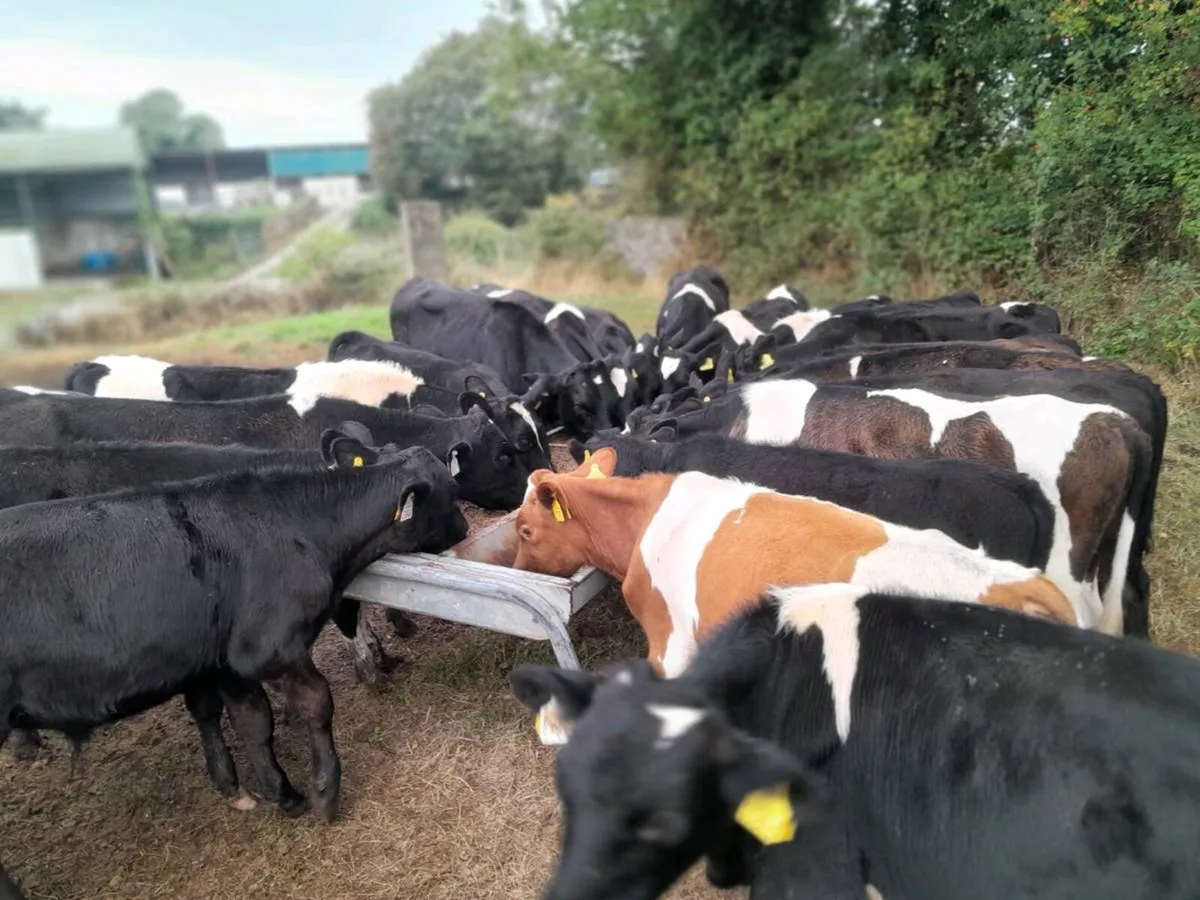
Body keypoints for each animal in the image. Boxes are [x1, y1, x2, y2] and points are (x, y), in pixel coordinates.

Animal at [0, 441, 467, 825]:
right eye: (450, 489)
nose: (465, 527)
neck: (298, 526)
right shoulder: (270, 648)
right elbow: (317, 704)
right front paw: (325, 791)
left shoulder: (223, 660)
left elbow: (252, 721)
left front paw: (276, 793)